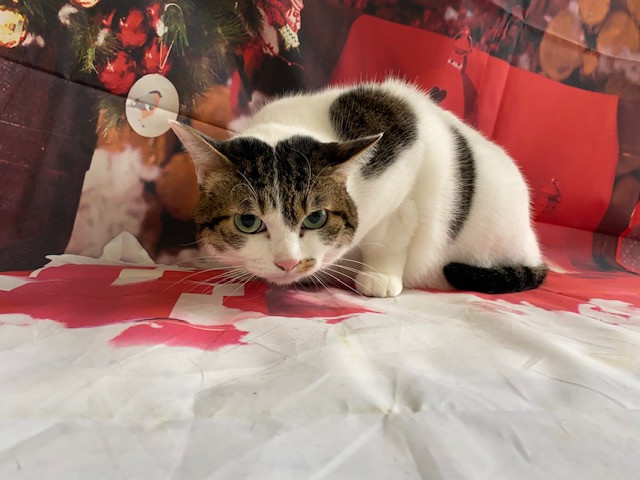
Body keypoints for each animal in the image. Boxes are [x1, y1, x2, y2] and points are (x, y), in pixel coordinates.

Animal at [169, 78, 547, 297]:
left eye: (316, 218)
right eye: (248, 222)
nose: (288, 264)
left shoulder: (406, 170)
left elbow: (395, 231)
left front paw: (379, 277)